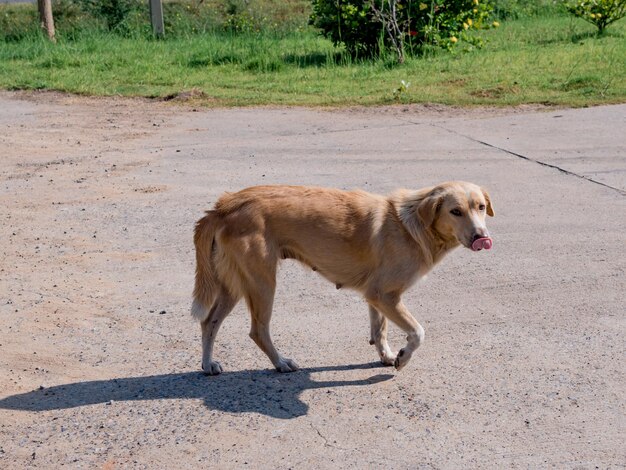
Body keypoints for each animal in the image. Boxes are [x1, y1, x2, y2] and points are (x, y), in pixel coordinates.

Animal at [190, 181, 492, 374]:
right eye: (455, 211)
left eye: (480, 207)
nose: (482, 237)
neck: (411, 224)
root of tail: (223, 206)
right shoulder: (385, 295)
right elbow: (418, 332)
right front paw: (403, 358)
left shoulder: (377, 297)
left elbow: (379, 330)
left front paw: (386, 355)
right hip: (262, 284)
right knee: (257, 331)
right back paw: (281, 363)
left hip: (233, 285)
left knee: (209, 322)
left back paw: (207, 365)